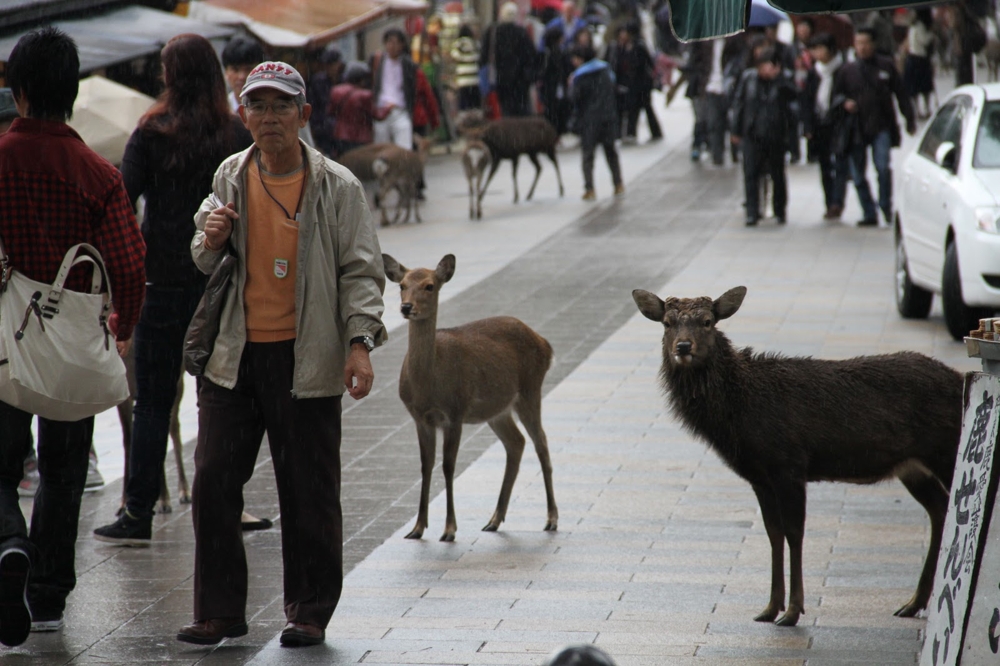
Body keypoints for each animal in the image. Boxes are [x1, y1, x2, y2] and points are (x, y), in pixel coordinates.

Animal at [382, 253, 560, 540]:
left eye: (430, 286)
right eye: (402, 285)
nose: (407, 307)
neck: (427, 388)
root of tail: (546, 344)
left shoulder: (455, 412)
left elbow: (448, 466)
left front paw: (449, 530)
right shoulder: (419, 418)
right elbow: (425, 465)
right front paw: (417, 528)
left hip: (530, 390)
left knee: (541, 442)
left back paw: (552, 519)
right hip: (498, 409)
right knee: (516, 442)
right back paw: (494, 520)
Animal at [628, 284, 964, 624]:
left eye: (707, 321)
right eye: (667, 323)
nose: (683, 346)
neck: (738, 415)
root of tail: (961, 377)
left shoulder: (788, 463)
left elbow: (794, 532)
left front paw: (792, 611)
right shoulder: (759, 477)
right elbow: (773, 532)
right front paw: (769, 607)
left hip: (945, 449)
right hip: (912, 467)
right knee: (939, 508)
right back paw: (913, 602)